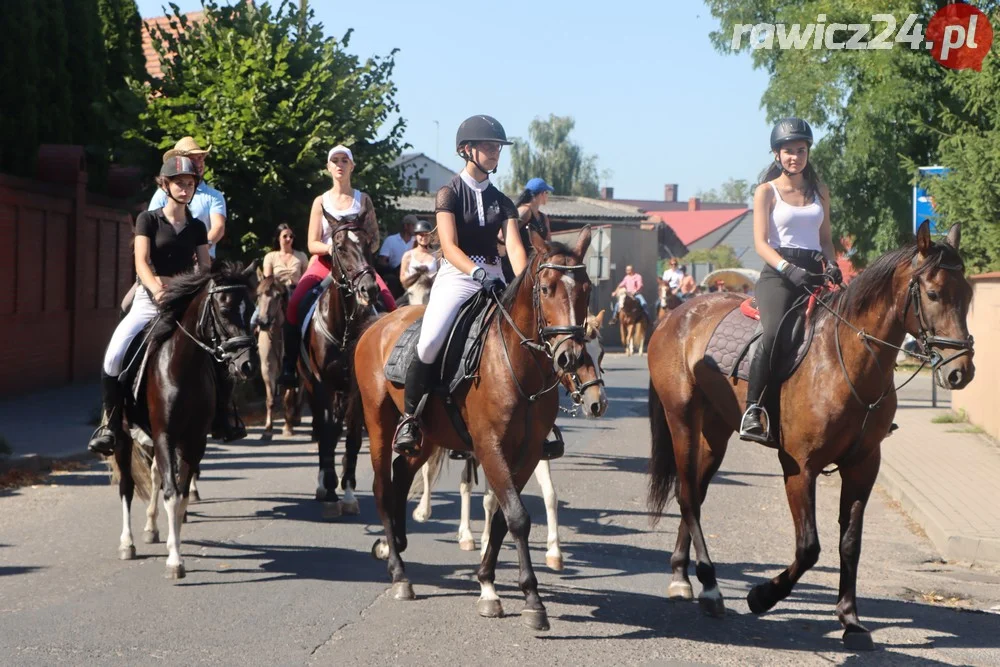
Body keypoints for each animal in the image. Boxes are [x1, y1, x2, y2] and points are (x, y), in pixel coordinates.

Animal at [110, 260, 258, 580]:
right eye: (224, 308)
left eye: (251, 307)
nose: (247, 365)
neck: (182, 366)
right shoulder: (165, 435)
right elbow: (172, 494)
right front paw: (175, 561)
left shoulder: (194, 440)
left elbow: (181, 494)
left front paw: (172, 544)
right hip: (125, 436)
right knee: (127, 485)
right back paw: (127, 544)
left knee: (154, 473)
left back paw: (152, 528)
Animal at [354, 228, 592, 632]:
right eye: (546, 288)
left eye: (587, 288)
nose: (570, 357)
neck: (516, 364)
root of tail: (379, 324)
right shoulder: (489, 446)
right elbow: (517, 517)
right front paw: (531, 599)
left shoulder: (527, 453)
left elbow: (501, 518)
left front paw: (488, 585)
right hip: (379, 424)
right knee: (383, 489)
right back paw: (400, 574)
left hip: (427, 435)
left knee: (402, 475)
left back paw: (395, 545)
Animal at [644, 222, 972, 648]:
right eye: (933, 294)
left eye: (967, 294)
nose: (961, 371)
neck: (844, 359)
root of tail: (677, 315)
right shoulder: (800, 467)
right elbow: (809, 547)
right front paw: (761, 596)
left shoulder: (863, 466)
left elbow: (850, 543)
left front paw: (851, 620)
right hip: (681, 419)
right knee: (686, 495)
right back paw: (711, 587)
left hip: (715, 431)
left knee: (694, 495)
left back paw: (682, 576)